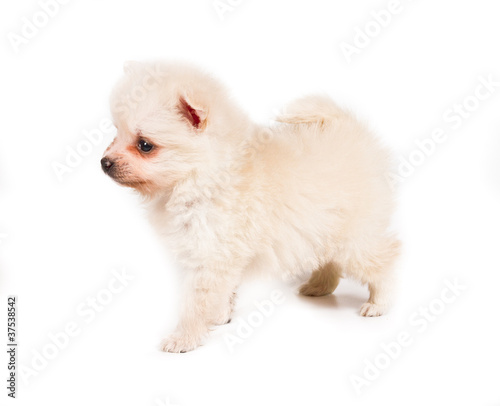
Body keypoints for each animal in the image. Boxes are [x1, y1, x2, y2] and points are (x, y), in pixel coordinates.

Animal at [102, 61, 402, 352]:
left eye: (145, 145)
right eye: (116, 133)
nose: (104, 162)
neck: (203, 174)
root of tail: (355, 134)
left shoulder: (210, 255)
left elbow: (196, 303)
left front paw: (184, 338)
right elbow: (224, 291)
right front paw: (221, 315)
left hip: (354, 239)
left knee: (384, 259)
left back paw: (379, 303)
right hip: (325, 230)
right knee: (331, 260)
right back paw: (319, 286)